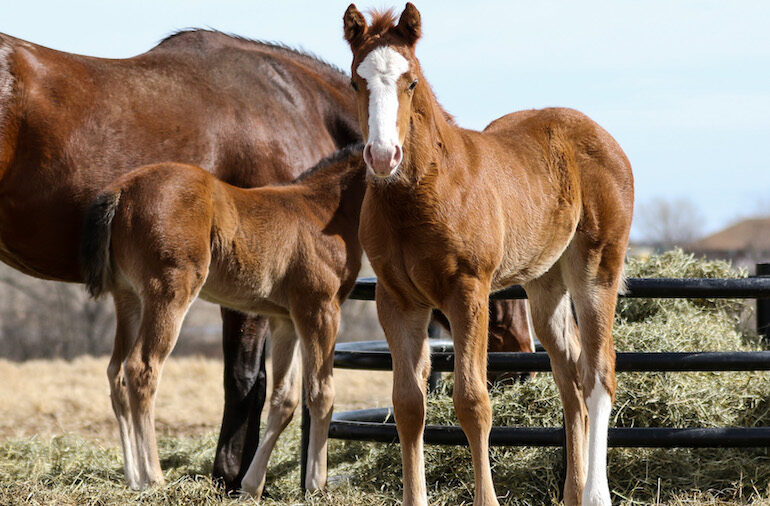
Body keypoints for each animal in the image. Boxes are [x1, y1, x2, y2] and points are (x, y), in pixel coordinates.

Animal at [80, 145, 366, 493]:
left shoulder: (286, 319)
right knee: (141, 369)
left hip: (128, 297)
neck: (321, 209)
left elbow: (285, 399)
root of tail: (122, 191)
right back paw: (154, 478)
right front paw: (316, 484)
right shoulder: (320, 309)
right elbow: (321, 393)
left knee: (116, 371)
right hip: (168, 292)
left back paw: (134, 479)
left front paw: (251, 486)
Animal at [343, 4, 634, 506]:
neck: (421, 193)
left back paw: (596, 494)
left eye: (411, 81)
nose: (383, 156)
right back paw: (572, 493)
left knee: (599, 372)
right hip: (545, 282)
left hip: (597, 267)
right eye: (356, 81)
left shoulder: (468, 293)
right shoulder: (396, 299)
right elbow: (407, 404)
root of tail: (603, 137)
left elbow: (472, 401)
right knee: (570, 378)